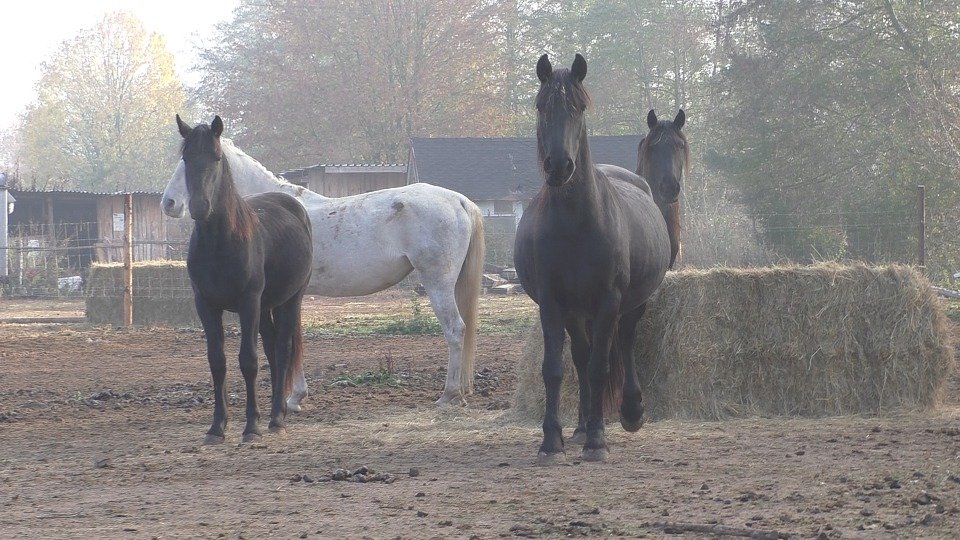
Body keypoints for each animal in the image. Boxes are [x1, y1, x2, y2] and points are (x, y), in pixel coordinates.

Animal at [162, 136, 488, 410]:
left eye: (196, 163)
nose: (169, 203)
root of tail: (460, 201)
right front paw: (295, 397)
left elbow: (285, 341)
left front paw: (290, 399)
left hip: (438, 284)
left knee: (455, 330)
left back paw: (448, 395)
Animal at [176, 114, 316, 442]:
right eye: (186, 158)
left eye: (216, 157)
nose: (199, 207)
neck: (219, 243)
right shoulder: (206, 305)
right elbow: (217, 361)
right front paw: (217, 426)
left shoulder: (248, 302)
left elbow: (248, 360)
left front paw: (251, 425)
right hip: (265, 308)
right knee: (273, 349)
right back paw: (276, 411)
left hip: (290, 300)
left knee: (283, 349)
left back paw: (277, 418)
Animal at [512, 53, 672, 464]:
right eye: (541, 106)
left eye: (579, 107)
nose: (559, 166)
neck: (575, 222)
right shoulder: (552, 303)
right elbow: (555, 369)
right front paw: (552, 441)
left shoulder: (608, 301)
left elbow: (601, 367)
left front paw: (598, 440)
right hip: (576, 311)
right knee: (581, 359)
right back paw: (582, 425)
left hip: (631, 304)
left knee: (625, 344)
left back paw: (629, 411)